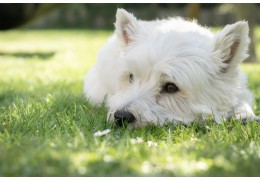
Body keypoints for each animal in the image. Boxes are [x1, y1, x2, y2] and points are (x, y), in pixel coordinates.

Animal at [84, 8, 258, 126]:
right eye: (131, 77)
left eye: (171, 87)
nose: (121, 116)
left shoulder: (241, 90)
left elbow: (241, 102)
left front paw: (245, 115)